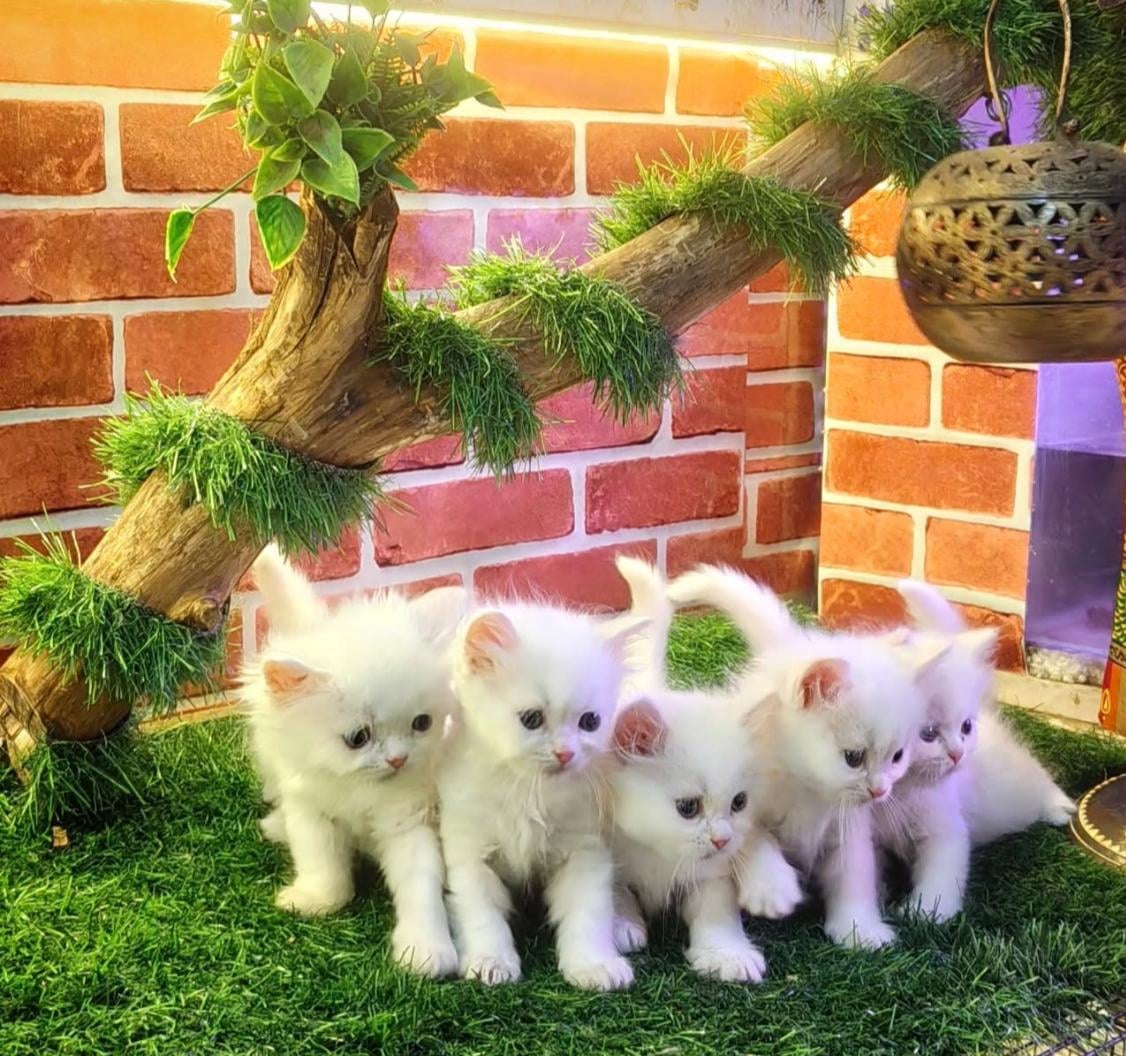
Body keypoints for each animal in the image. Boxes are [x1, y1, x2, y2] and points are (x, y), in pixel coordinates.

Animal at [242, 546, 466, 978]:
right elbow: (324, 868)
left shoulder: (409, 823)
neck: (360, 793)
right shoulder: (312, 812)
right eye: (358, 738)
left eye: (421, 723)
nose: (398, 759)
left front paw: (426, 950)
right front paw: (313, 900)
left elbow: (421, 888)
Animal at [438, 601, 638, 990]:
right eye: (531, 719)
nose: (565, 753)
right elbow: (482, 916)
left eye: (590, 722)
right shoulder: (470, 853)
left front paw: (594, 965)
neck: (528, 791)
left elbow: (588, 912)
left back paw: (625, 922)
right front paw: (490, 960)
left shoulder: (586, 848)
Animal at [608, 557, 768, 983]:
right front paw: (622, 925)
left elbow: (717, 910)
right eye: (688, 808)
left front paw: (727, 953)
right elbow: (615, 889)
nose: (722, 840)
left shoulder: (713, 875)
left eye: (739, 803)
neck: (656, 854)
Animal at [668, 565, 946, 949]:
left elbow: (854, 871)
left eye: (898, 757)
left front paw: (859, 928)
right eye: (853, 757)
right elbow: (753, 837)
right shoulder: (742, 799)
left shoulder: (847, 824)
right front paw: (772, 888)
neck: (805, 788)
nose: (880, 792)